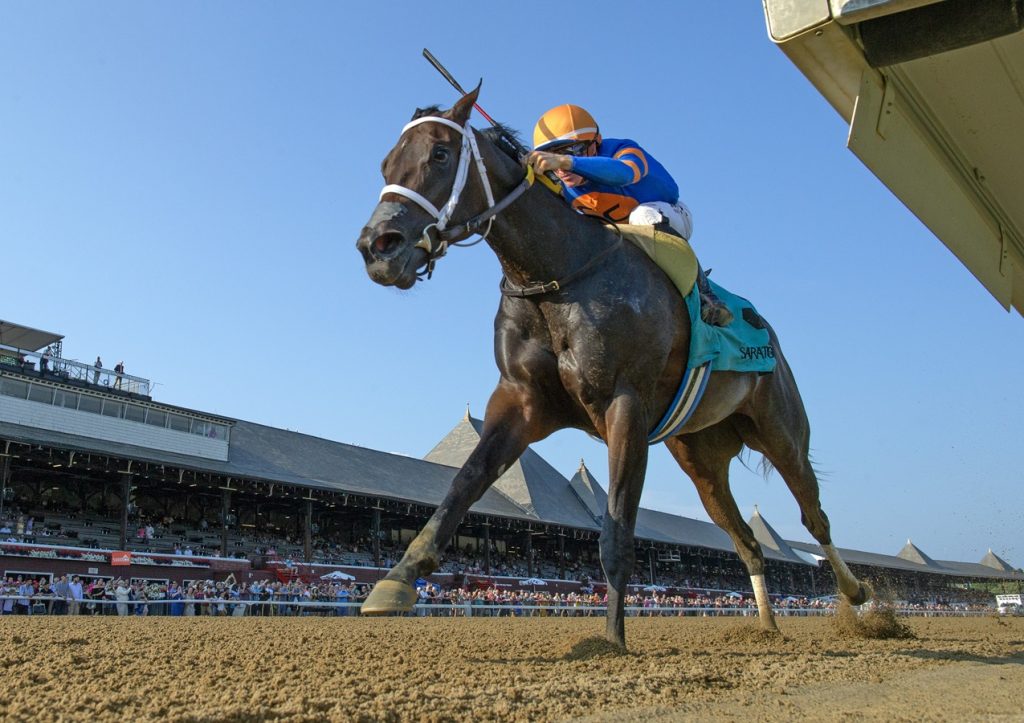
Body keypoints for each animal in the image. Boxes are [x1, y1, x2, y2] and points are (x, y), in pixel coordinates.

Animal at [356, 87, 868, 643]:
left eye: (440, 154)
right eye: (386, 162)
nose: (377, 248)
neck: (557, 274)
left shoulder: (624, 406)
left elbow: (617, 528)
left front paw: (611, 639)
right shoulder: (521, 400)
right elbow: (464, 483)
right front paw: (397, 579)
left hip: (780, 428)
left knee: (814, 517)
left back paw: (860, 597)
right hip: (700, 458)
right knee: (747, 541)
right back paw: (768, 625)